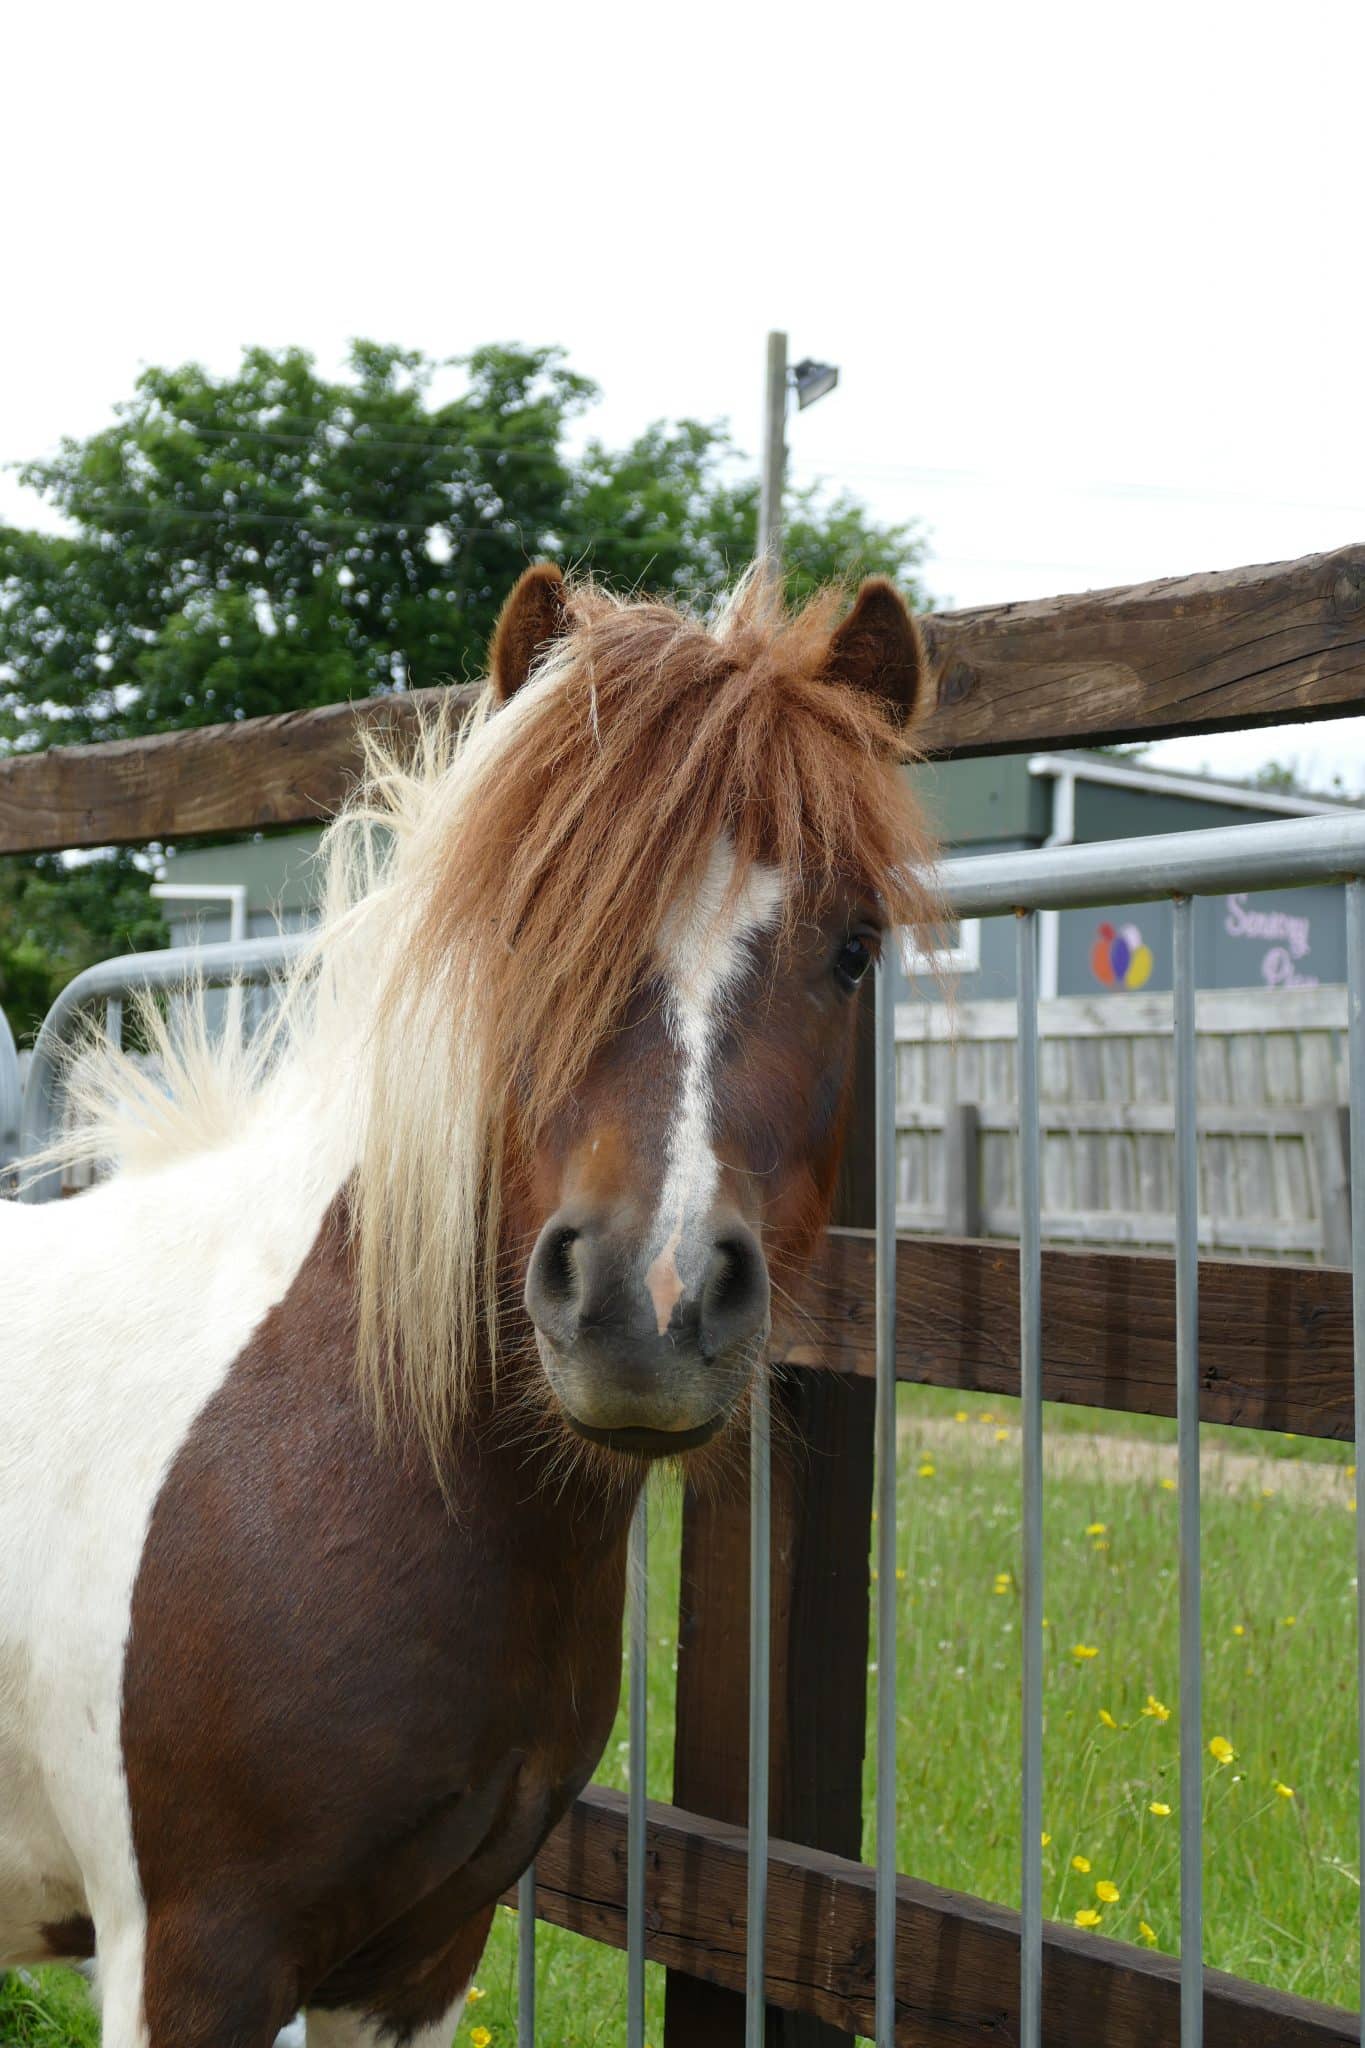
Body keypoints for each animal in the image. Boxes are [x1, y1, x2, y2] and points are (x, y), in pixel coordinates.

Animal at [0, 565, 933, 2048]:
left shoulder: (422, 1955)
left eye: (853, 949)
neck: (326, 1441)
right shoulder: (189, 1958)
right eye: (525, 921)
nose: (647, 1301)